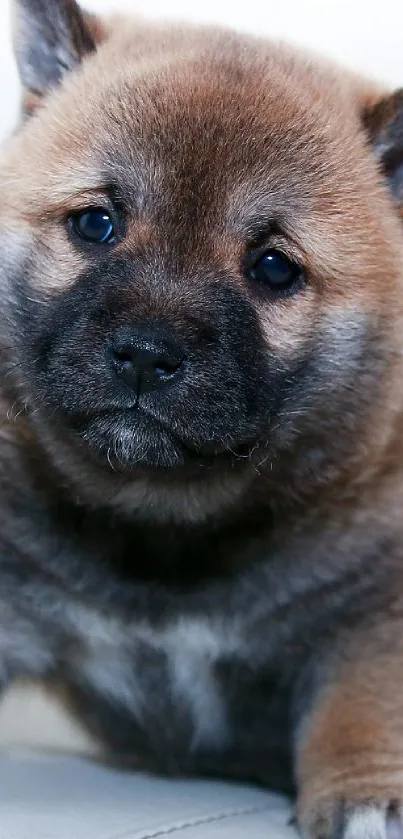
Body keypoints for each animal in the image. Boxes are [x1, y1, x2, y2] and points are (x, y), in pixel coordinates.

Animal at [0, 1, 403, 839]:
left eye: (273, 267)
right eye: (95, 224)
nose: (145, 355)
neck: (163, 534)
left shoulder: (373, 613)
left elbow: (361, 709)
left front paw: (365, 796)